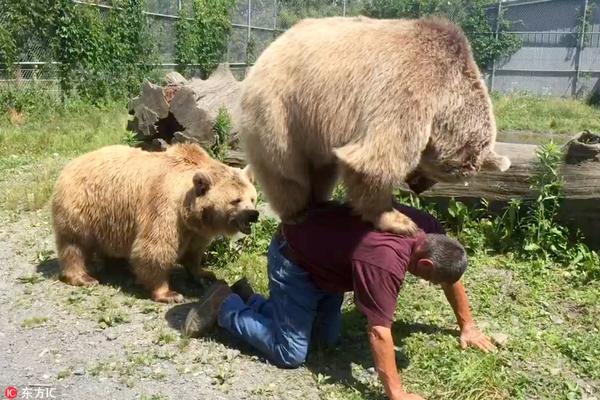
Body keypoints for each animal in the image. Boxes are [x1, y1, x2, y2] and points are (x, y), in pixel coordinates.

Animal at [51, 144, 255, 304]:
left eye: (252, 198)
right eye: (236, 200)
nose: (253, 214)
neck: (189, 210)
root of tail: (72, 163)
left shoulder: (195, 230)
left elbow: (194, 252)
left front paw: (205, 273)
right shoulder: (164, 207)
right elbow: (155, 248)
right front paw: (169, 293)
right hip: (83, 205)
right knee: (74, 243)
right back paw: (83, 277)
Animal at [239, 16, 510, 234]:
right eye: (442, 174)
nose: (418, 188)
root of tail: (272, 46)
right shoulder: (409, 87)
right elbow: (376, 159)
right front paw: (399, 220)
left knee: (323, 169)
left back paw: (321, 200)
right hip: (281, 109)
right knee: (285, 170)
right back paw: (296, 211)